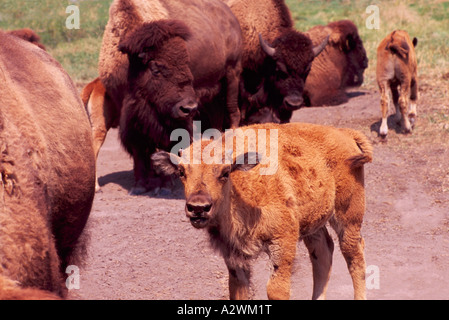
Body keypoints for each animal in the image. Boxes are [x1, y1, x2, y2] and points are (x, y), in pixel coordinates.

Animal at [85, 0, 243, 195]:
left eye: (187, 63)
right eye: (156, 68)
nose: (189, 108)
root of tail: (229, 14)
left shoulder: (172, 120)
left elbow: (168, 143)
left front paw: (166, 186)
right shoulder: (129, 116)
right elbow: (139, 150)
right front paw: (139, 186)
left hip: (232, 73)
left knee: (233, 114)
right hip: (213, 92)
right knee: (217, 123)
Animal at [152, 122, 372, 300]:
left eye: (225, 172)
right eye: (181, 172)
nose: (198, 207)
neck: (240, 189)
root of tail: (344, 133)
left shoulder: (283, 243)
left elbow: (276, 290)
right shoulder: (233, 256)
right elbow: (238, 290)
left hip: (348, 217)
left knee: (354, 257)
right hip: (313, 222)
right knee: (323, 251)